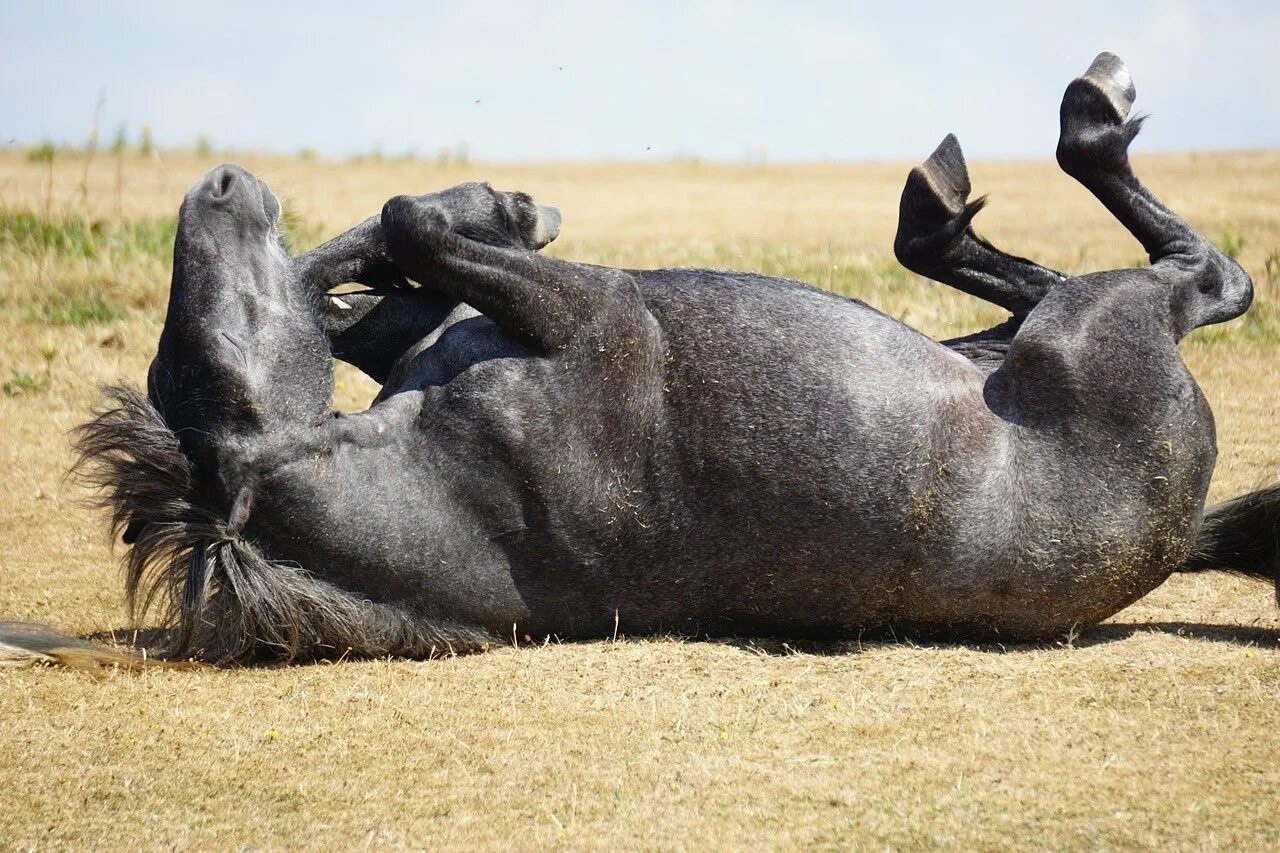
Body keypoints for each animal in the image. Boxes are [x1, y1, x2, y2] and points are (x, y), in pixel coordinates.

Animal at [5, 51, 1274, 671]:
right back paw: (1078, 116)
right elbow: (408, 228)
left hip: (1009, 340)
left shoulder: (431, 327)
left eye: (184, 368)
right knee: (1205, 275)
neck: (447, 486)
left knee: (1022, 272)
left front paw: (495, 207)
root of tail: (1173, 533)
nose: (221, 186)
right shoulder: (595, 315)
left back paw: (950, 202)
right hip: (1095, 326)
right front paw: (498, 207)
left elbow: (378, 259)